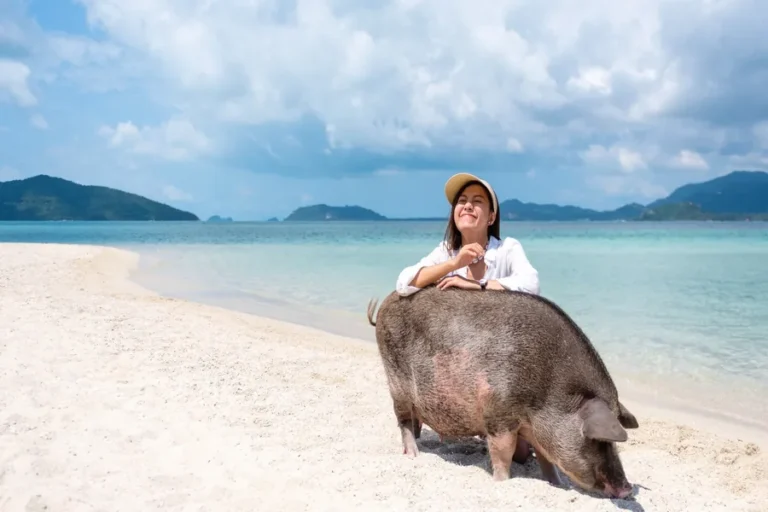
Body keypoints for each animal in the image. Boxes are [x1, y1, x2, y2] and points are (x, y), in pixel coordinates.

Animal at [366, 285, 638, 500]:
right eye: (599, 441)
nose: (626, 489)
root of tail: (387, 302)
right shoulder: (498, 413)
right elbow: (502, 452)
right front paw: (501, 482)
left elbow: (547, 459)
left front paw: (557, 484)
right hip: (396, 381)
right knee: (403, 420)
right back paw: (413, 455)